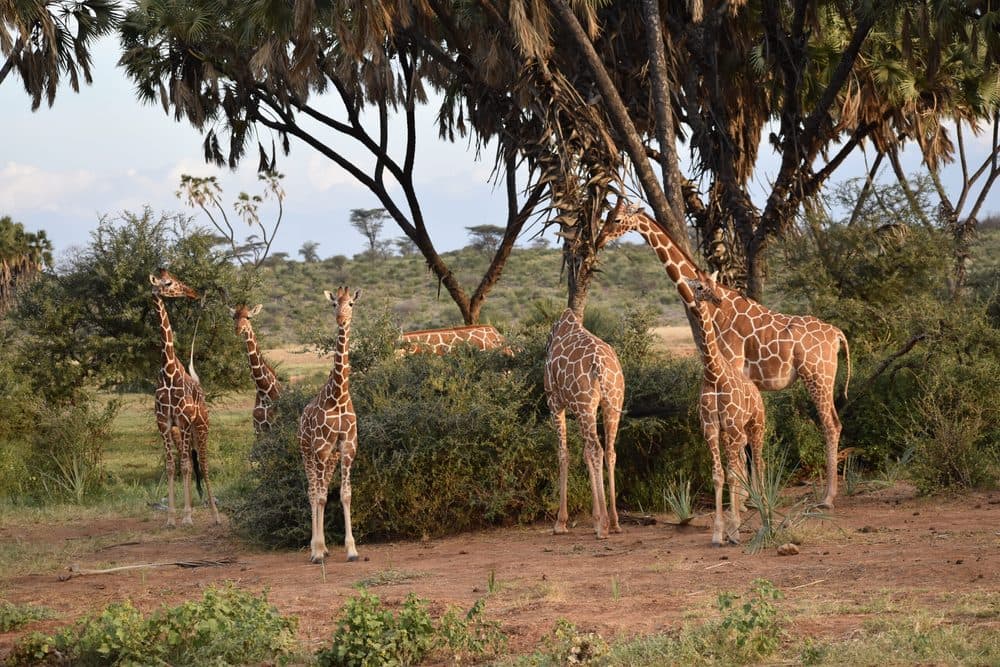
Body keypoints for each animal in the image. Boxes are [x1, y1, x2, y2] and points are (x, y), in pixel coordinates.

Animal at [149, 268, 221, 527]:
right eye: (169, 283)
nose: (191, 292)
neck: (169, 371)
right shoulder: (164, 423)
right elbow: (173, 467)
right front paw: (171, 517)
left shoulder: (186, 420)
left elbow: (188, 467)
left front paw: (188, 516)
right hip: (182, 432)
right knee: (187, 461)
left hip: (201, 426)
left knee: (204, 465)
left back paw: (215, 515)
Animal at [230, 304, 281, 435]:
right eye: (234, 317)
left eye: (249, 317)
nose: (238, 329)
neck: (264, 391)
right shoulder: (259, 430)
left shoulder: (277, 427)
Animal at [544, 309, 625, 539]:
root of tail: (600, 365)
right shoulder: (579, 409)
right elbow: (585, 453)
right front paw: (595, 518)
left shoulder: (555, 401)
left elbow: (563, 453)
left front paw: (560, 523)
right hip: (611, 402)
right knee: (609, 450)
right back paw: (614, 522)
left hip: (585, 403)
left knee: (597, 449)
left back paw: (604, 527)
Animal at [599, 200, 851, 508]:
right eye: (607, 215)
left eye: (616, 219)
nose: (600, 239)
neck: (715, 310)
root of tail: (837, 335)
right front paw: (750, 497)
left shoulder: (731, 366)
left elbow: (738, 443)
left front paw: (743, 499)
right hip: (821, 377)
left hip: (817, 376)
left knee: (831, 425)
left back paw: (828, 497)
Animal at [684, 275, 765, 545]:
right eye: (699, 286)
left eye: (712, 284)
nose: (718, 299)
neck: (714, 373)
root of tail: (757, 393)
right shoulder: (711, 428)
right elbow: (719, 475)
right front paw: (719, 532)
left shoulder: (731, 426)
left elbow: (731, 475)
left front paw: (734, 531)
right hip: (735, 434)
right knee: (742, 464)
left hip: (756, 427)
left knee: (759, 463)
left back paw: (765, 511)